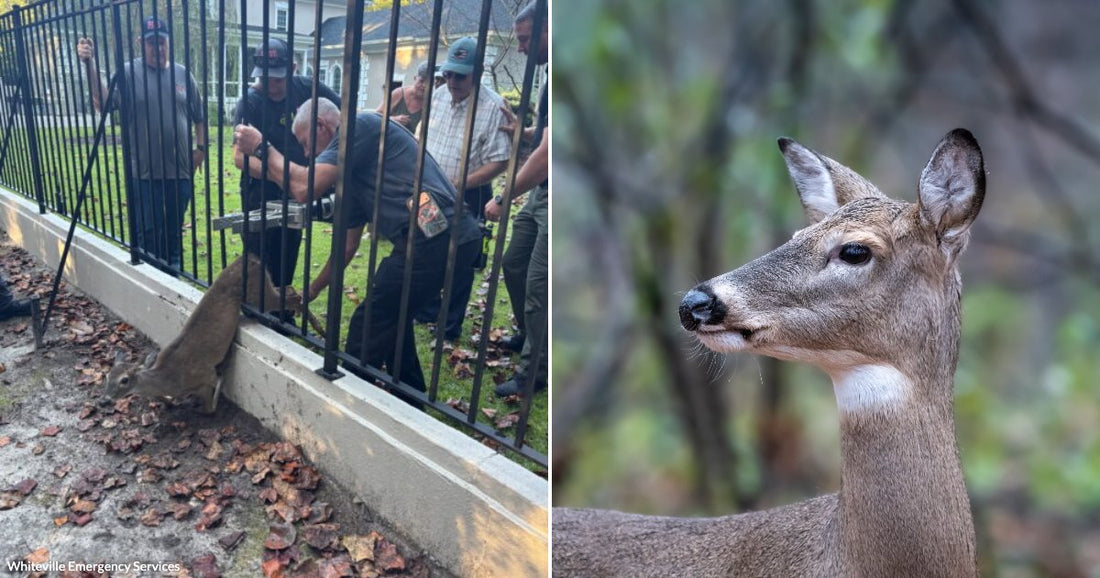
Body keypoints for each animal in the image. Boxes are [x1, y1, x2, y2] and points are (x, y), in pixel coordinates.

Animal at [106, 253, 324, 414]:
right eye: (107, 376)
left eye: (124, 380)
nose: (105, 400)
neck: (170, 379)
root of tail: (251, 257)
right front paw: (169, 403)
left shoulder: (203, 376)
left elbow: (209, 407)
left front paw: (221, 376)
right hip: (263, 286)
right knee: (290, 289)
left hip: (256, 294)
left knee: (292, 296)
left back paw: (319, 329)